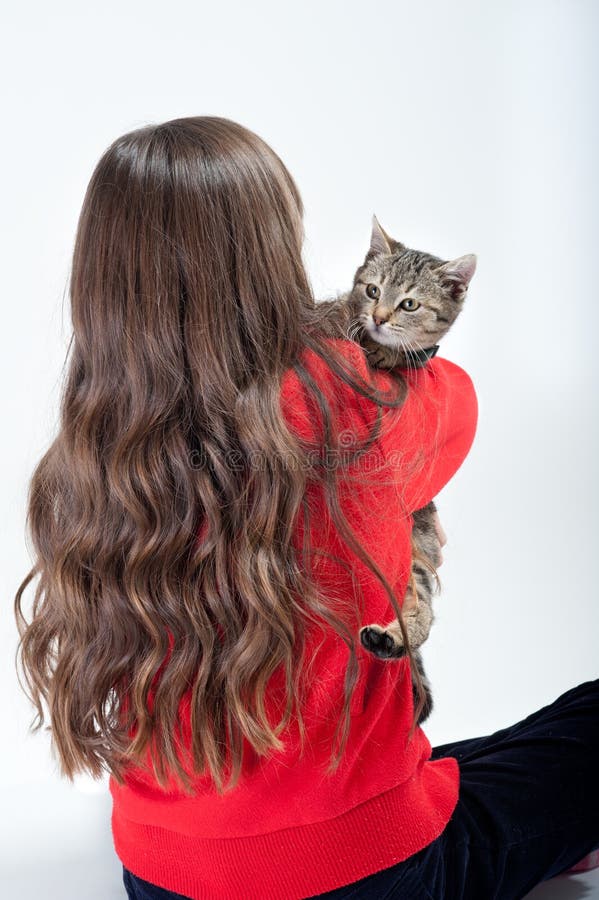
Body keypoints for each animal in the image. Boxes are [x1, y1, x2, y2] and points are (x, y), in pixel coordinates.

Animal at [314, 214, 478, 720]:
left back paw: (391, 639)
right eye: (372, 291)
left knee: (421, 611)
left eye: (408, 304)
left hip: (416, 546)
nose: (380, 318)